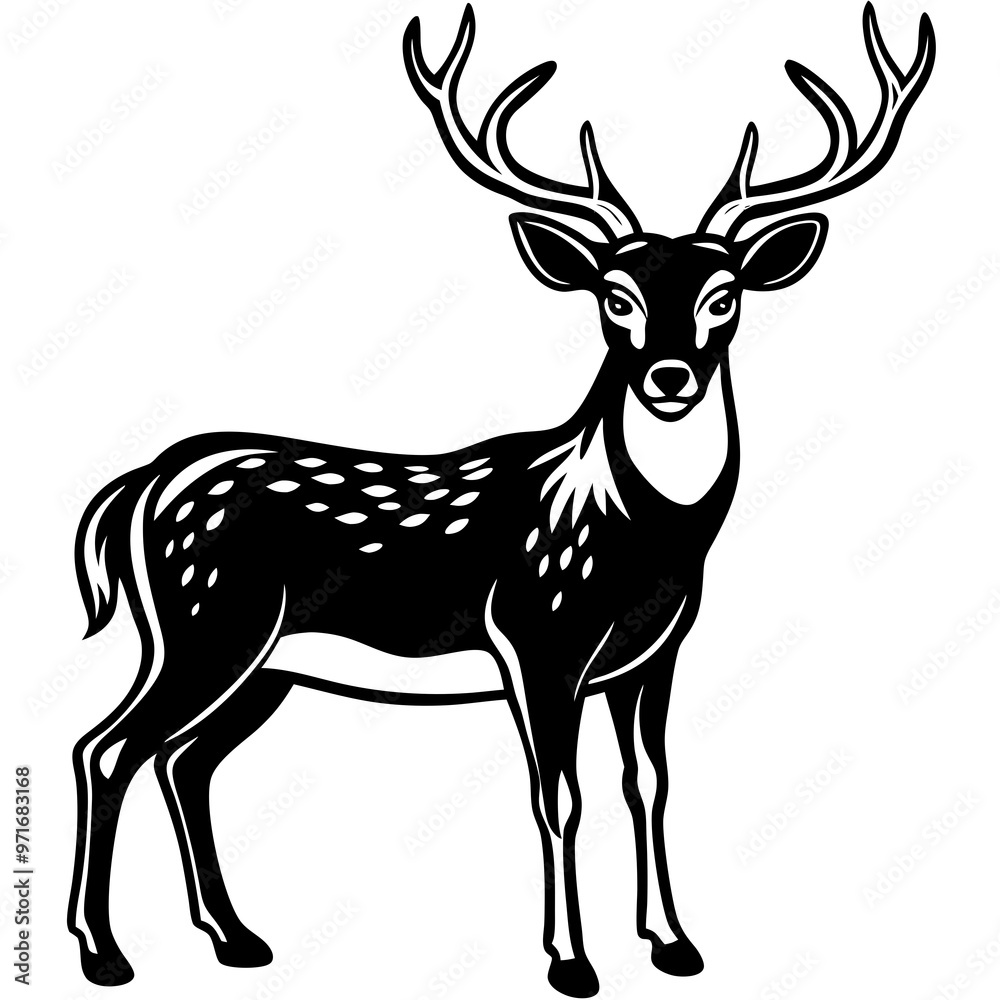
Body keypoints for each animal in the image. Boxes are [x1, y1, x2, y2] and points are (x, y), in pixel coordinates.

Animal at [68, 5, 934, 996]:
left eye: (725, 296)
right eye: (615, 297)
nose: (670, 377)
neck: (644, 537)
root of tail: (138, 487)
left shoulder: (654, 655)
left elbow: (651, 784)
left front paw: (674, 944)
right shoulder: (535, 637)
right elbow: (558, 796)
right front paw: (571, 961)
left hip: (262, 663)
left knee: (183, 760)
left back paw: (235, 937)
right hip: (205, 623)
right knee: (108, 747)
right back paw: (104, 952)